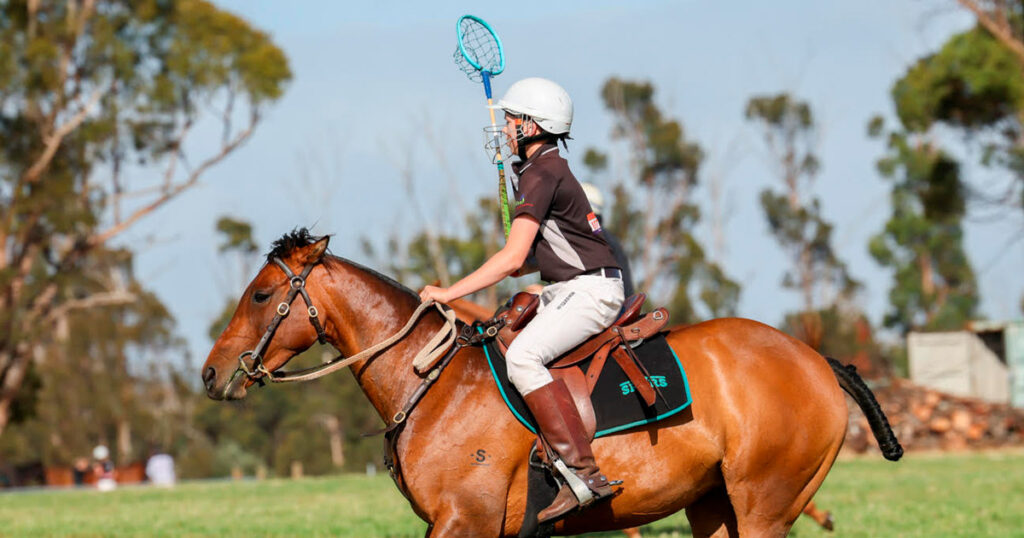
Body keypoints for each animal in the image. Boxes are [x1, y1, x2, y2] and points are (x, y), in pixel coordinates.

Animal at [201, 230, 901, 537]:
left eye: (260, 294)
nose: (211, 373)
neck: (431, 387)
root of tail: (817, 360)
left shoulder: (466, 521)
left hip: (764, 506)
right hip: (713, 505)